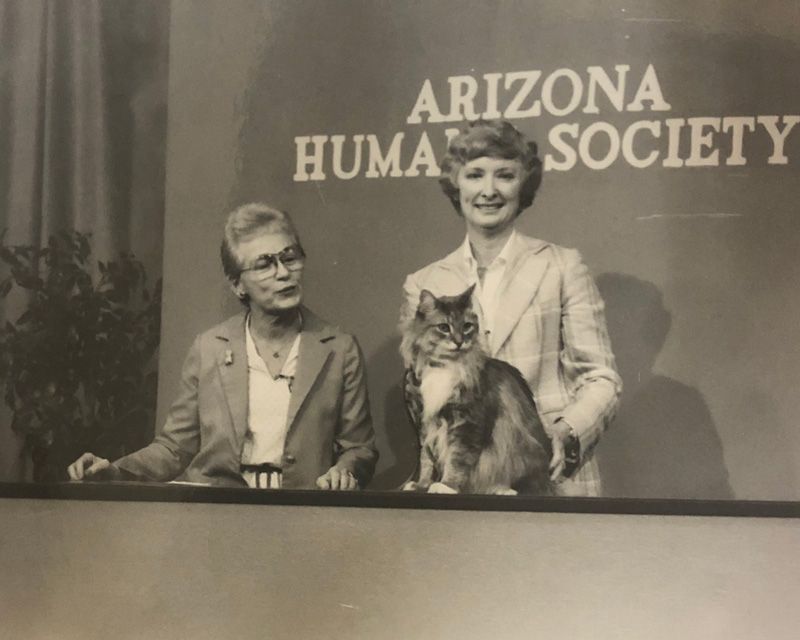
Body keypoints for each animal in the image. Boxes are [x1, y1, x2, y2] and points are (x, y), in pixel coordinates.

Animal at [398, 284, 552, 496]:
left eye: (467, 326)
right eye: (444, 327)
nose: (459, 341)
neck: (443, 366)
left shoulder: (467, 422)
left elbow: (457, 459)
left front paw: (446, 486)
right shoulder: (424, 422)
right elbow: (426, 459)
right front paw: (421, 485)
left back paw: (503, 490)